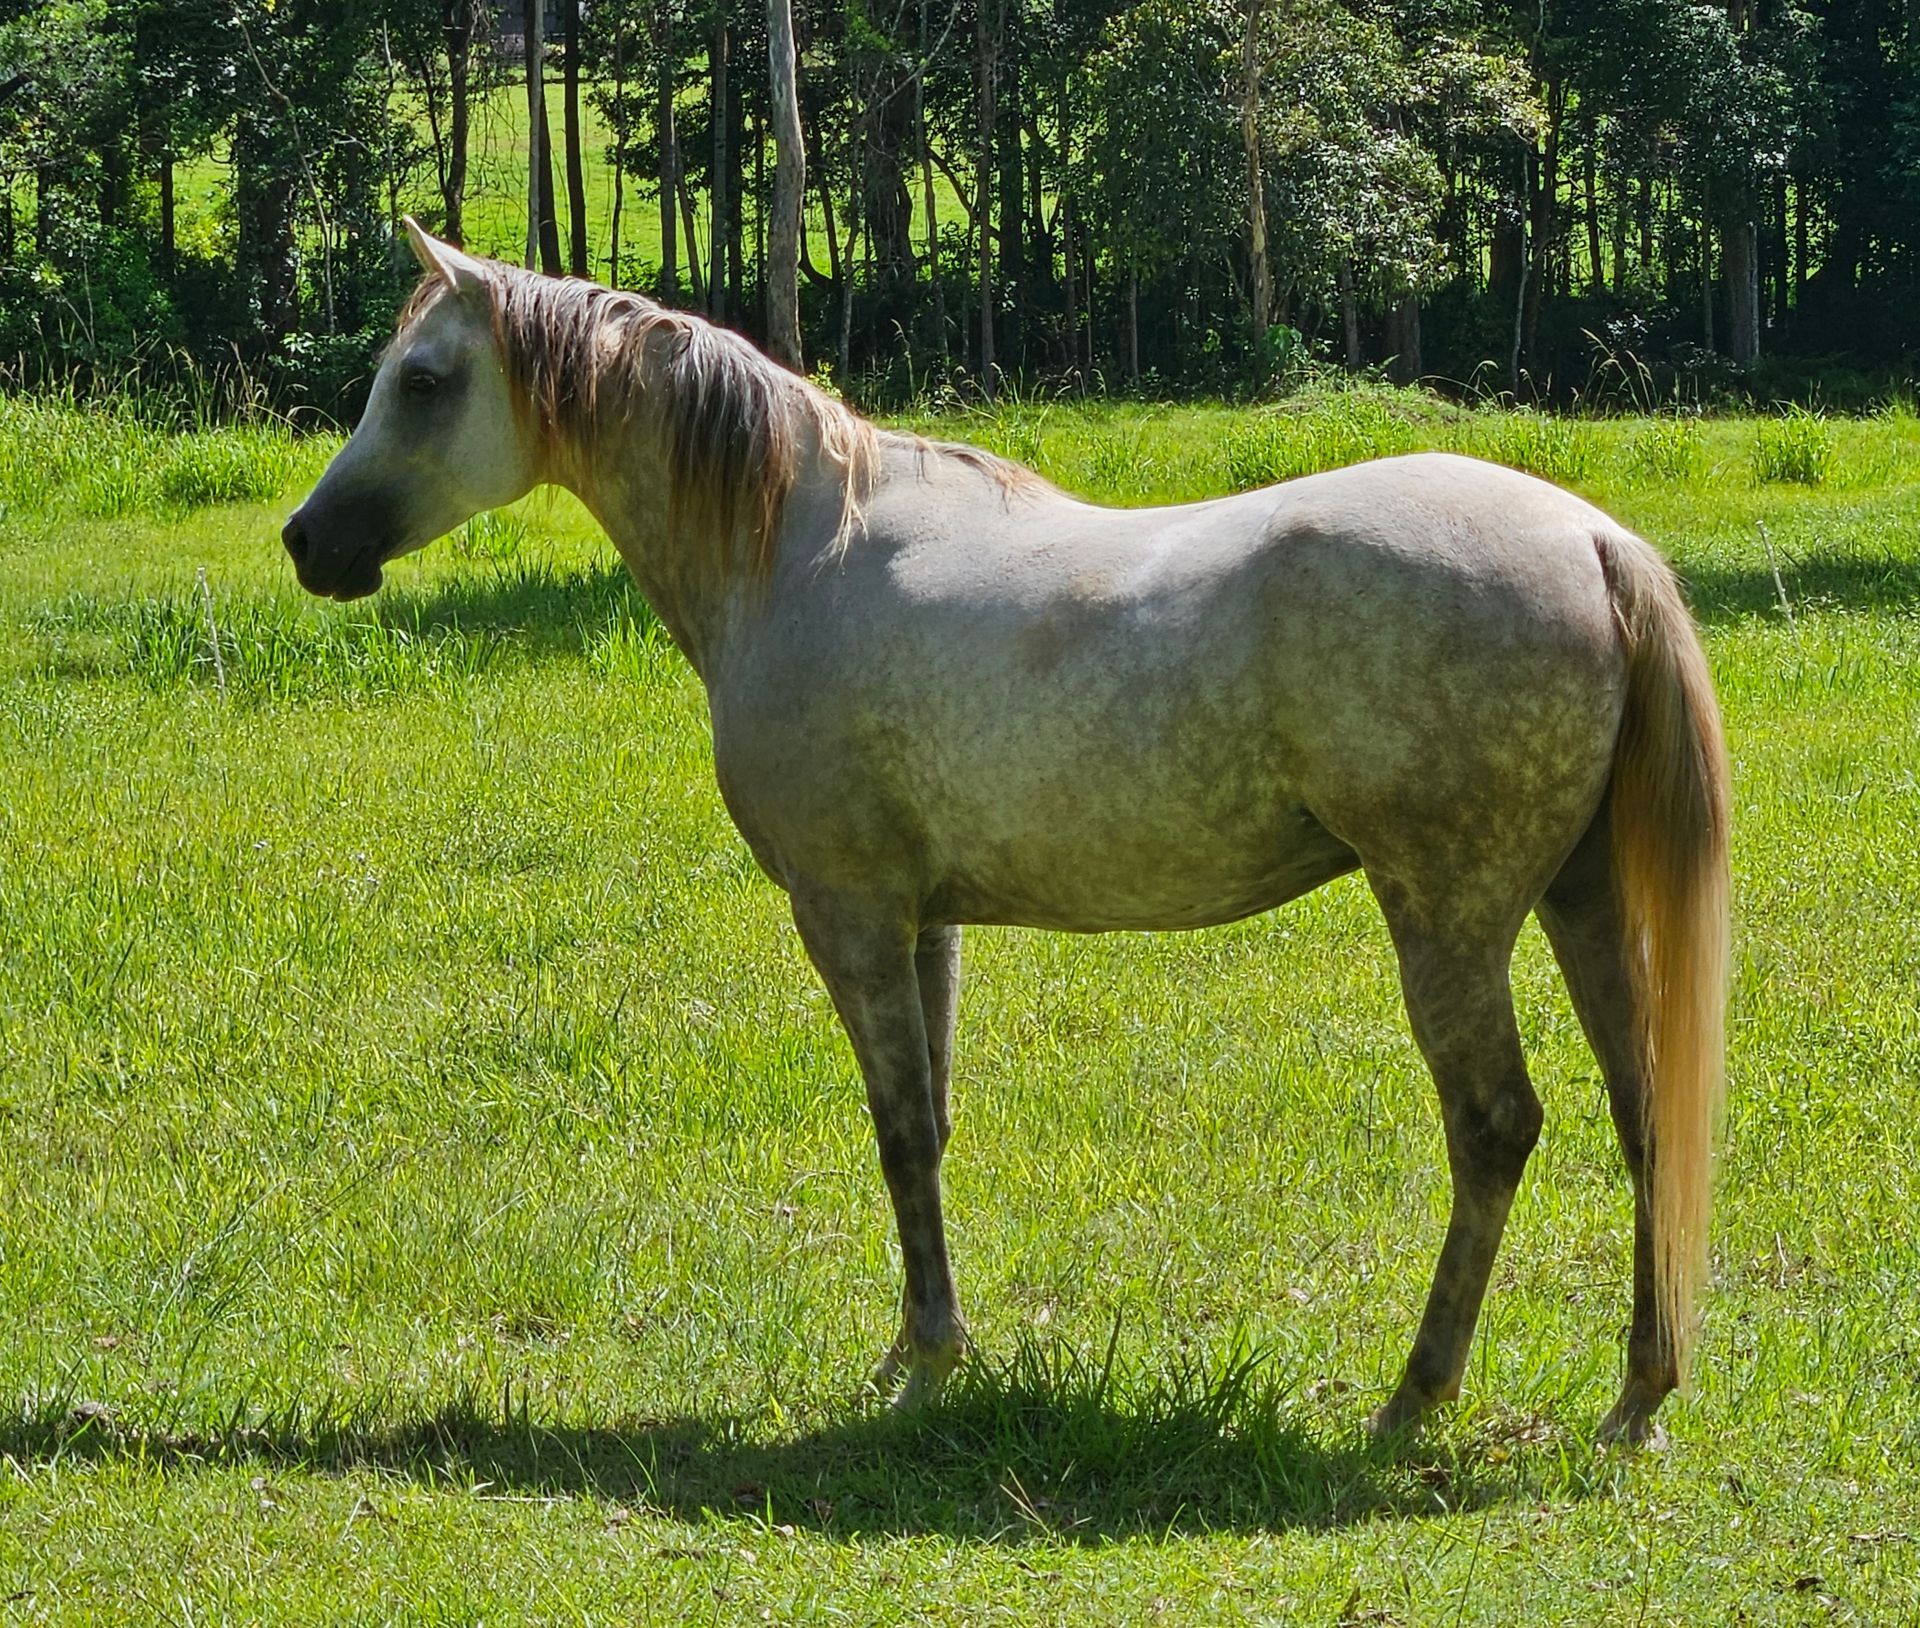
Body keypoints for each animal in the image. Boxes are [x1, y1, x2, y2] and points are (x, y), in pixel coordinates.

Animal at [283, 220, 1729, 1445]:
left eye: (422, 380)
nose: (307, 544)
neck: (798, 549)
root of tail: (1592, 539)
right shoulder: (927, 923)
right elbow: (930, 1122)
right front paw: (927, 1347)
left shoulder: (850, 913)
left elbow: (897, 1130)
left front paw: (924, 1359)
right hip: (1579, 901)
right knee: (1645, 1111)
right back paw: (1639, 1399)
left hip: (1450, 915)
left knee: (1493, 1125)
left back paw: (1415, 1397)